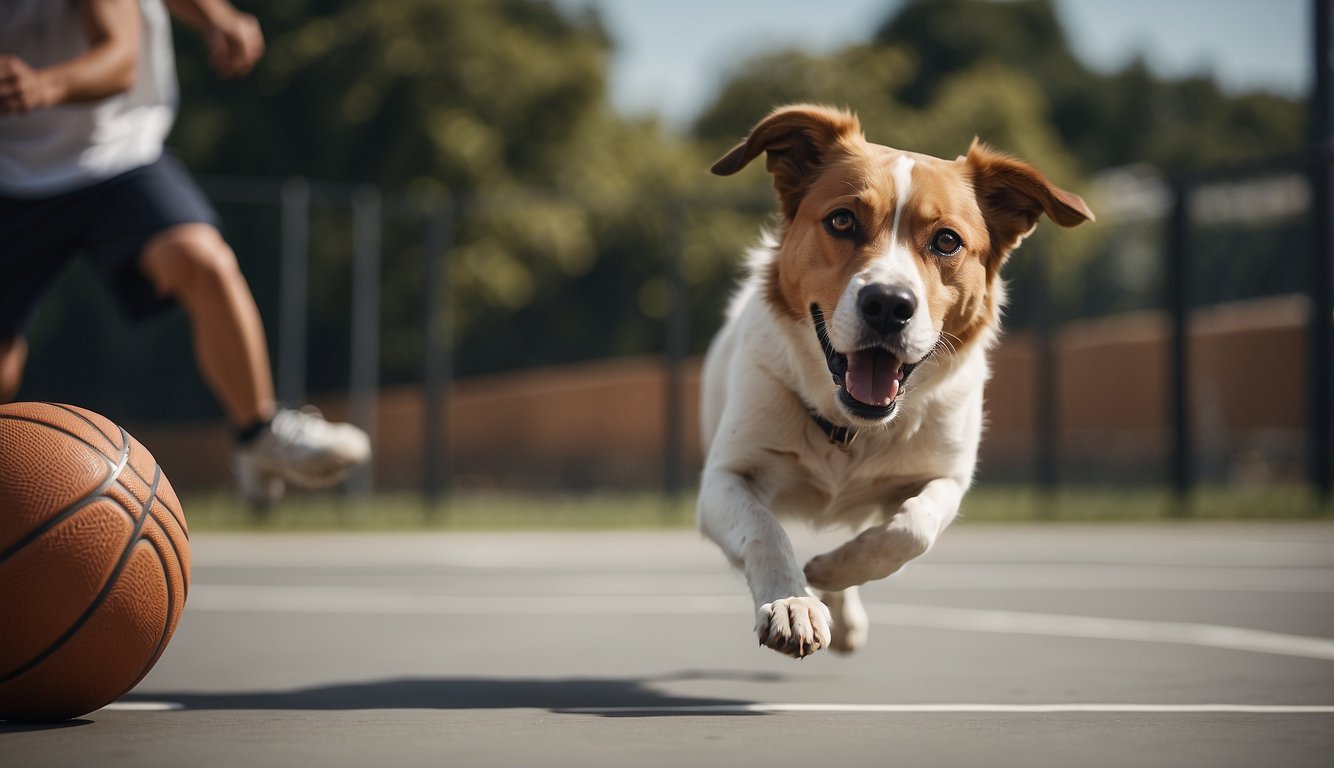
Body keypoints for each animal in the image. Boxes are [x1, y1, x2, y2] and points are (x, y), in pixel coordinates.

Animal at [699, 103, 1093, 661]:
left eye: (947, 240)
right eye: (842, 220)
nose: (888, 303)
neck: (850, 428)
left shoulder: (945, 477)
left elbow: (910, 529)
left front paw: (831, 570)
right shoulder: (725, 478)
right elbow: (765, 532)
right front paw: (794, 603)